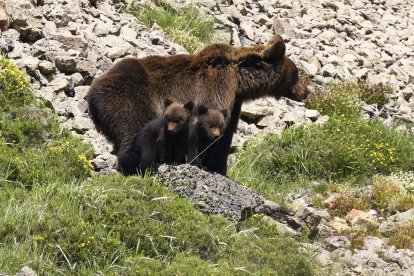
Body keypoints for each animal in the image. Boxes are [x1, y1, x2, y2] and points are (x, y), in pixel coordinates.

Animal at [87, 35, 310, 176]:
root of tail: (91, 92)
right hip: (129, 100)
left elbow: (224, 139)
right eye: (296, 74)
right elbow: (208, 137)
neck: (239, 83)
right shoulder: (215, 92)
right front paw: (204, 164)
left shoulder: (233, 106)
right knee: (135, 132)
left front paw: (219, 169)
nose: (306, 91)